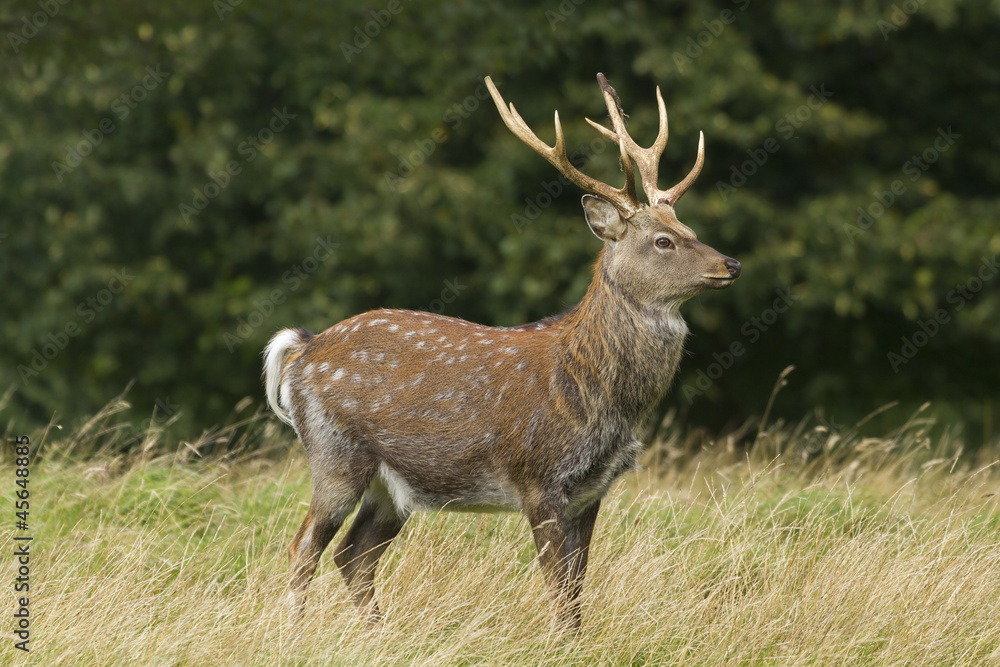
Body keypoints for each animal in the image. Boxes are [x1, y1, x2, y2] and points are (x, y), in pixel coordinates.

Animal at [263, 73, 741, 629]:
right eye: (664, 241)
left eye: (691, 230)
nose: (730, 264)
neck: (598, 394)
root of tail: (302, 348)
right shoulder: (539, 479)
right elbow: (559, 591)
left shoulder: (592, 491)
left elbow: (576, 591)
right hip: (334, 453)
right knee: (304, 548)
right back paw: (295, 633)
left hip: (393, 486)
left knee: (355, 555)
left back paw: (378, 635)